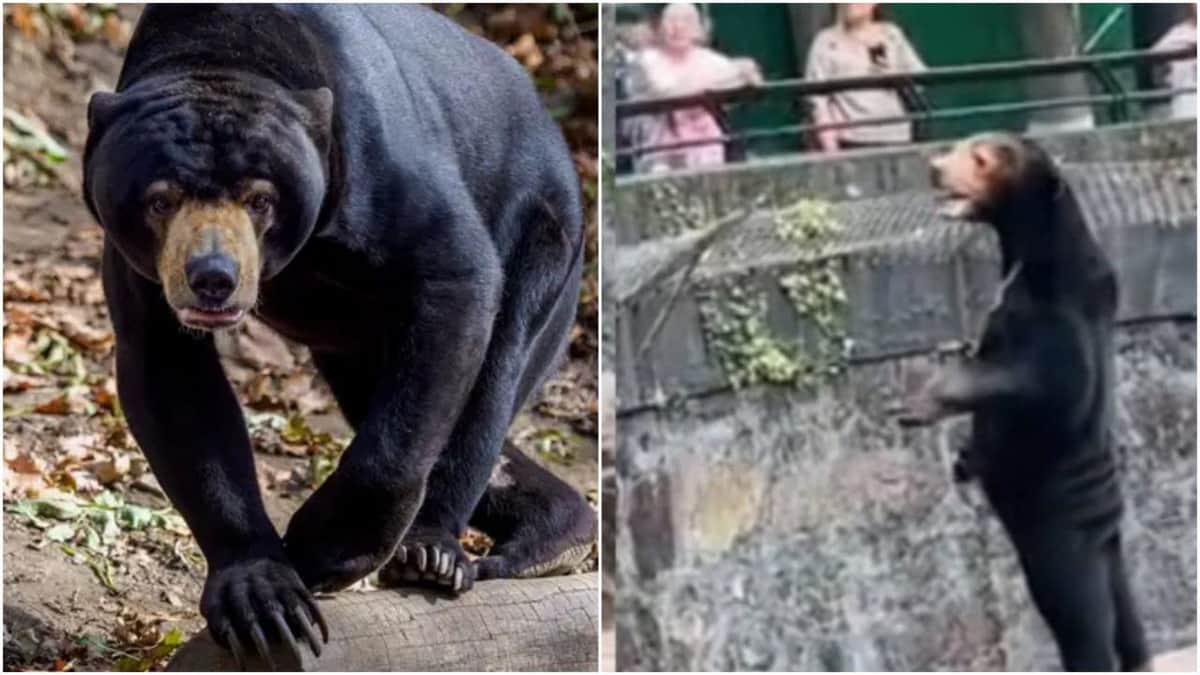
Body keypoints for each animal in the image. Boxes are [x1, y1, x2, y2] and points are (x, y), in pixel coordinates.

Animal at [83, 4, 595, 668]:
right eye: (160, 200)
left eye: (261, 199)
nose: (213, 278)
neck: (222, 54)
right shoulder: (141, 269)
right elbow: (171, 376)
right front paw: (263, 601)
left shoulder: (379, 169)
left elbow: (454, 278)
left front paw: (320, 552)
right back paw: (560, 533)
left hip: (547, 239)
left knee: (492, 380)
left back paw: (434, 554)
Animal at [896, 132, 1149, 671]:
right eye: (958, 145)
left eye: (981, 159)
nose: (933, 167)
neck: (1031, 252)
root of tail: (1102, 529)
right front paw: (961, 456)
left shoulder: (1056, 318)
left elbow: (1044, 384)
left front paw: (922, 401)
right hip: (1107, 549)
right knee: (1126, 614)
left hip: (1058, 539)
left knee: (1082, 621)